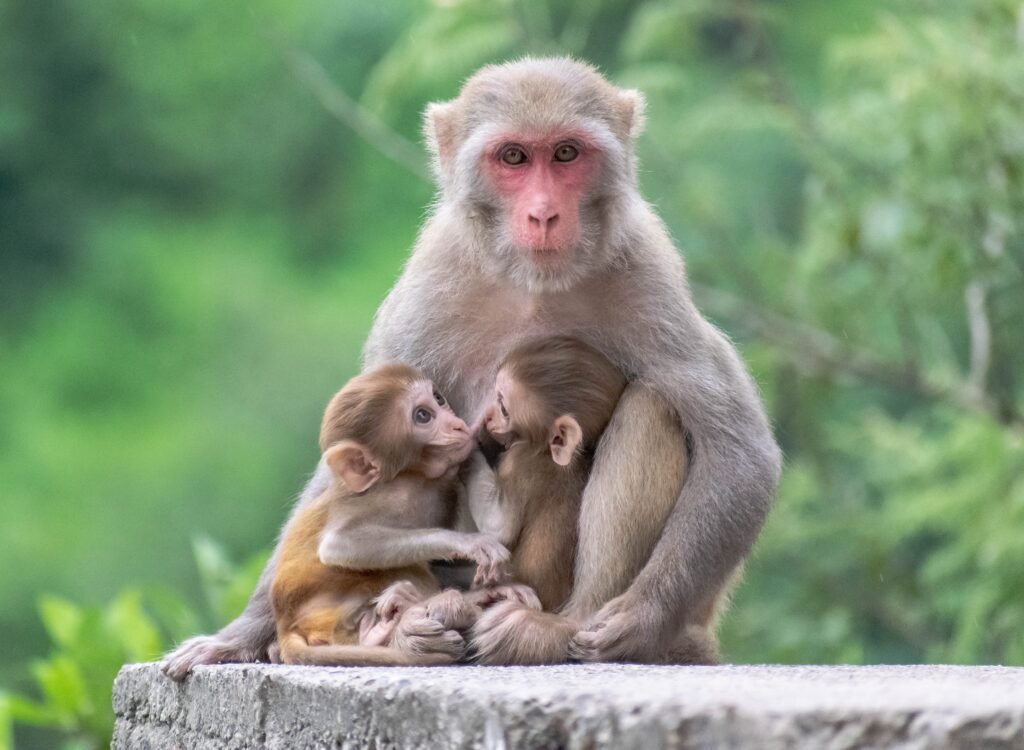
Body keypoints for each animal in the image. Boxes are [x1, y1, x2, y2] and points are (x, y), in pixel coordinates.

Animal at [272, 366, 512, 663]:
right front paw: (469, 544)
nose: (457, 425)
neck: (415, 476)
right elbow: (339, 544)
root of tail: (284, 624)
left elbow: (498, 527)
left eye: (438, 399)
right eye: (423, 416)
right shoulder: (390, 496)